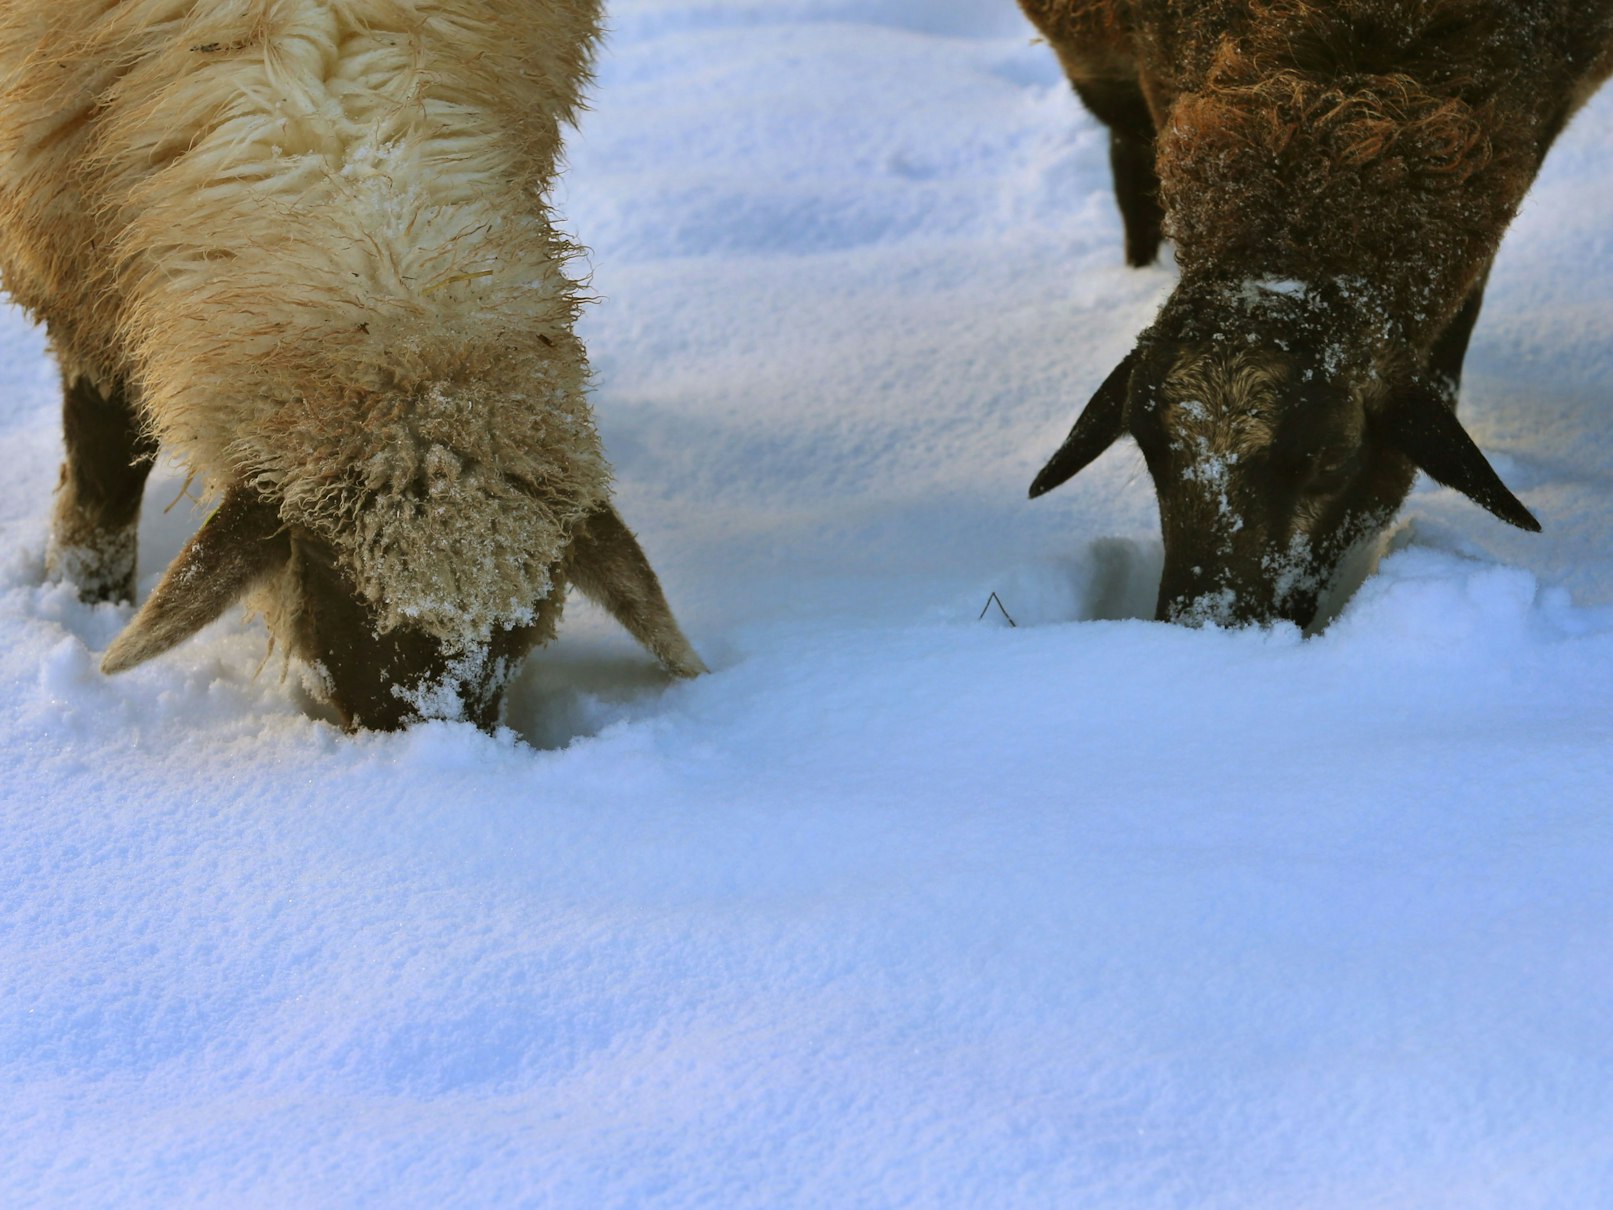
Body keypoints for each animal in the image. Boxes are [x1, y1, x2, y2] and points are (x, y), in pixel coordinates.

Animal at [0, 0, 706, 730]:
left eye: (524, 617)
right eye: (323, 569)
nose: (432, 747)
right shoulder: (72, 256)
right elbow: (104, 468)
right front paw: (85, 599)